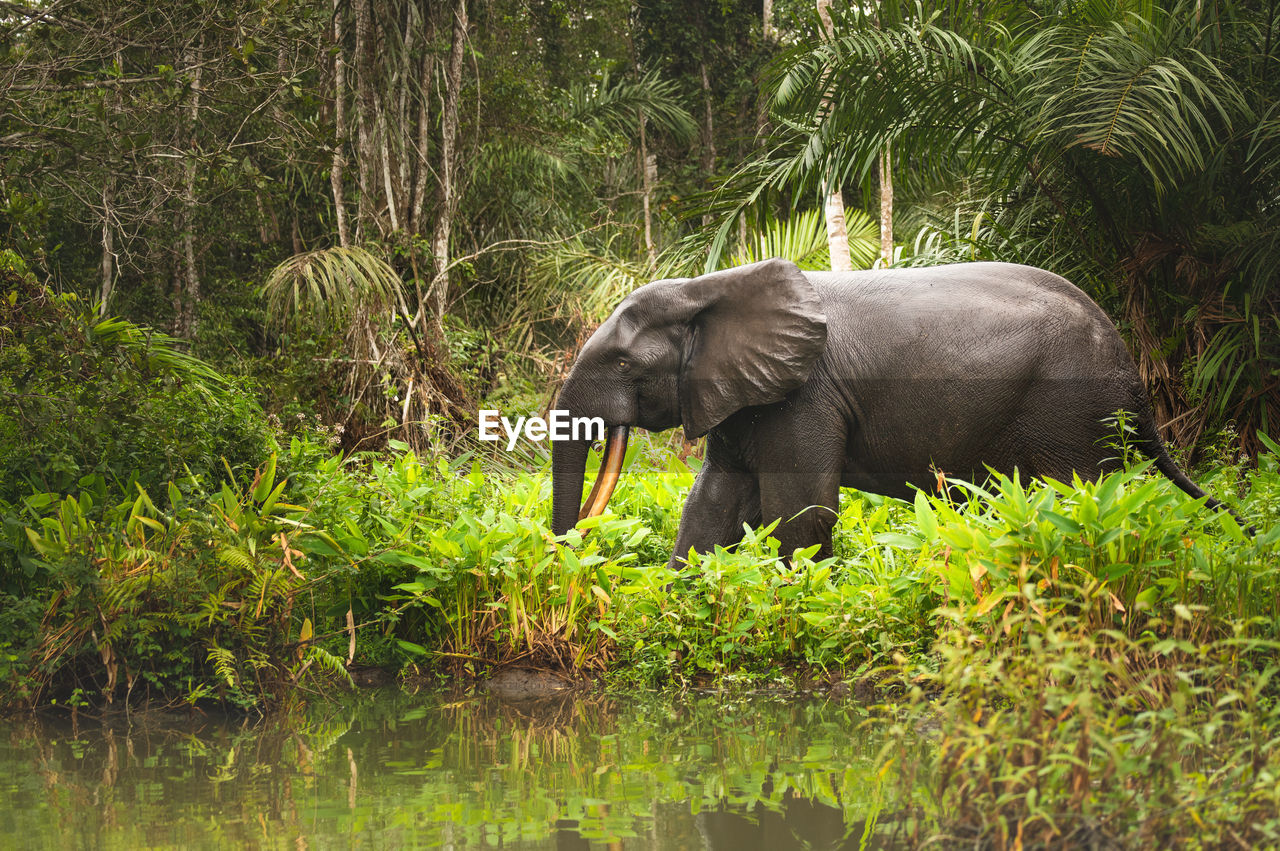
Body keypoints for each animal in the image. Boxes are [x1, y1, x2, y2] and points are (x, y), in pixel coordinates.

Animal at [555, 255, 1233, 568]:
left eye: (625, 364)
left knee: (1076, 495)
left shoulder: (806, 396)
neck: (707, 286)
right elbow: (714, 499)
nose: (569, 552)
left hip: (1070, 410)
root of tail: (1128, 367)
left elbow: (799, 509)